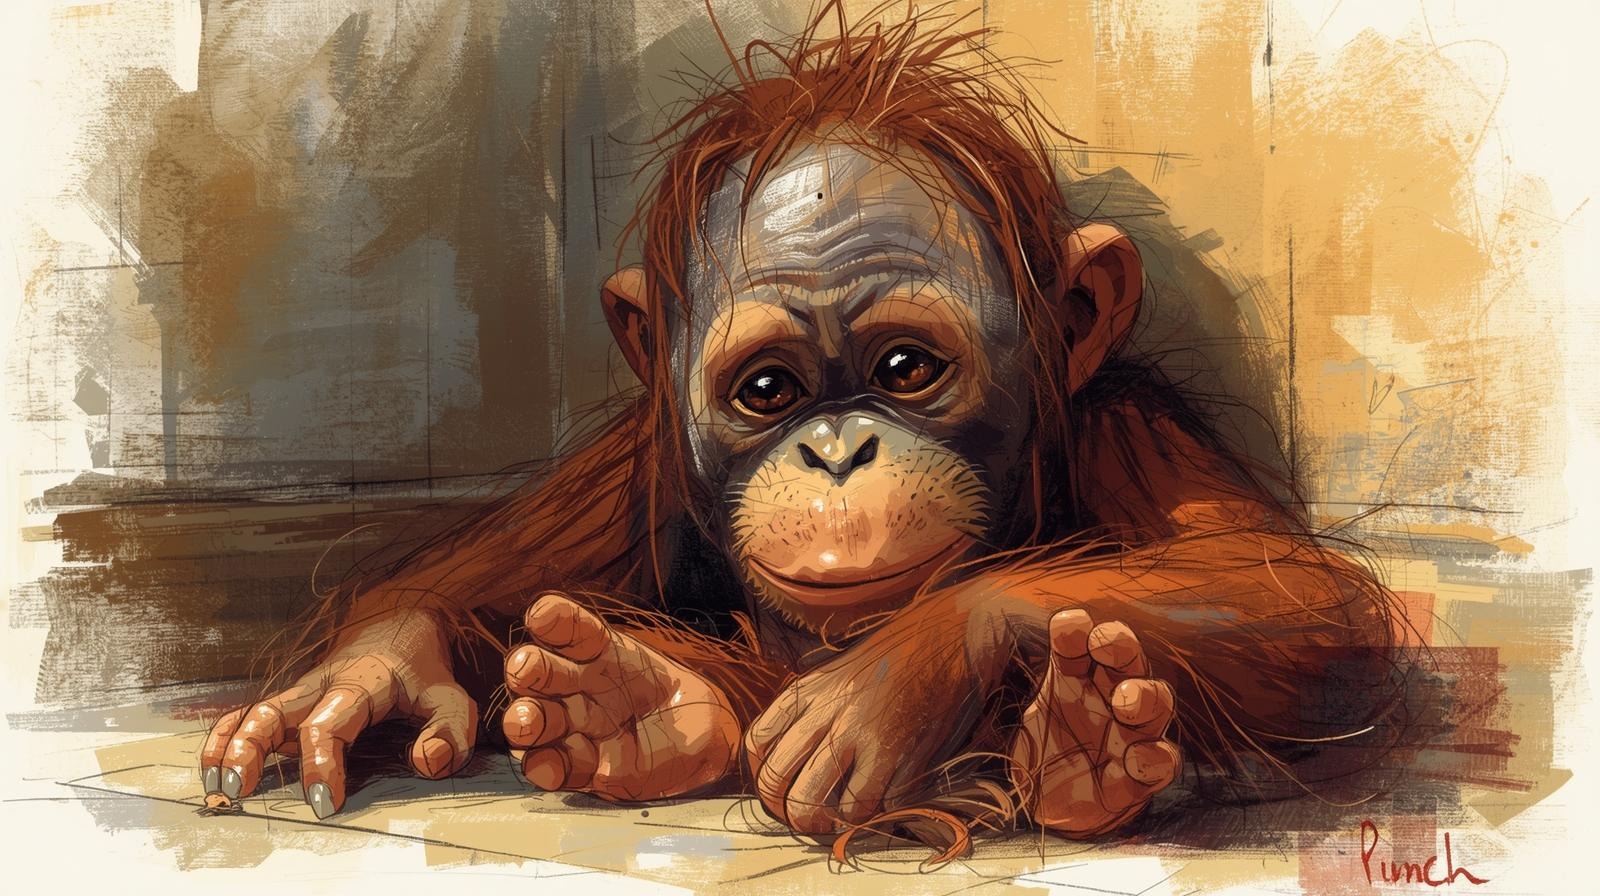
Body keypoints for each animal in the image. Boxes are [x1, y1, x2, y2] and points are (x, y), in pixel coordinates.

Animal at [199, 3, 1403, 845]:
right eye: (770, 390)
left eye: (905, 369)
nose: (837, 450)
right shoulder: (634, 461)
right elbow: (482, 569)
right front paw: (369, 671)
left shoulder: (1126, 424)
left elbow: (1300, 589)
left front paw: (887, 683)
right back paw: (637, 709)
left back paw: (1084, 748)